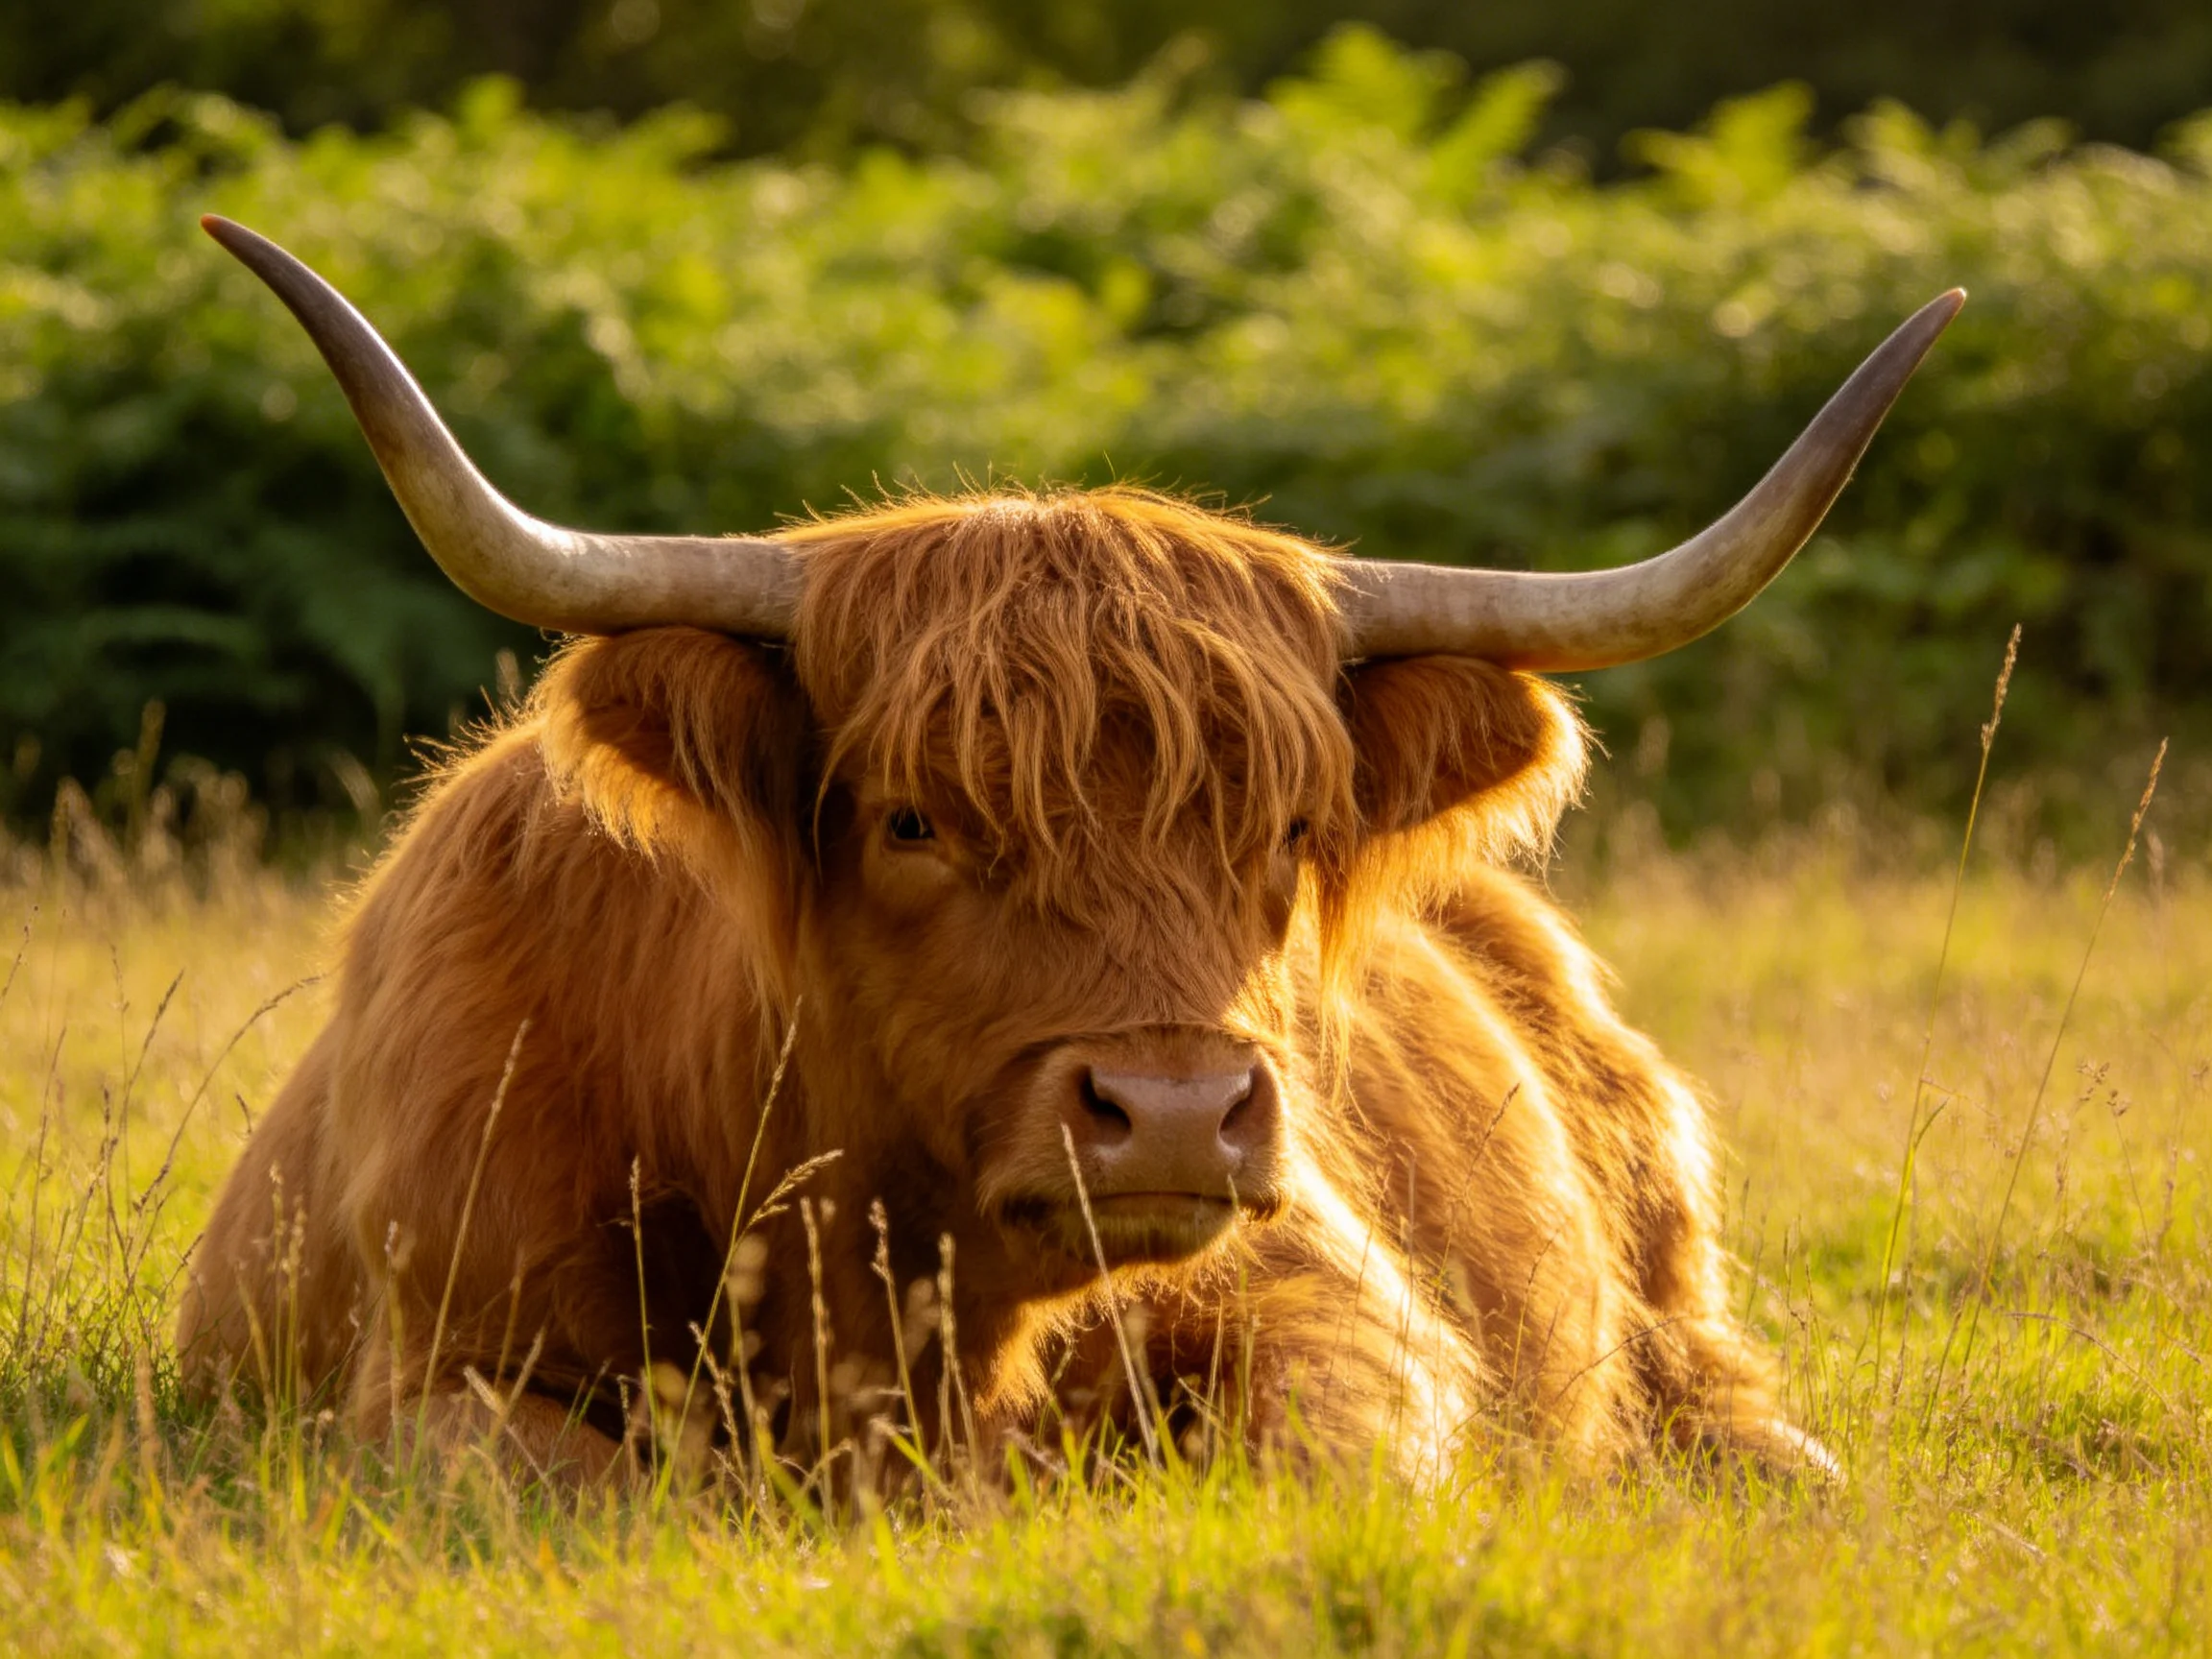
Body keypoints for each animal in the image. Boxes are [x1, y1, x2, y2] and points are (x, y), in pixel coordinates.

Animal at [178, 215, 1961, 1490]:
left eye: (1285, 828)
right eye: (910, 816)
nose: (1171, 1113)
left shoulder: (1341, 1311)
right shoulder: (438, 1363)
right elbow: (562, 1478)